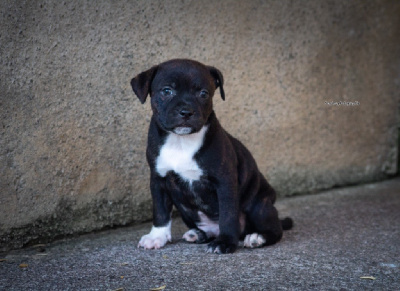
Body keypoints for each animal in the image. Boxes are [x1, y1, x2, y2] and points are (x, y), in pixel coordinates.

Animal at [130, 58, 290, 253]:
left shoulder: (225, 182)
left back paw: (257, 237)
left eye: (203, 93)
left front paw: (225, 242)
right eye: (167, 91)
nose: (186, 112)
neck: (181, 141)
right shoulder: (158, 179)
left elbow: (228, 214)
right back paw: (198, 234)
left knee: (275, 229)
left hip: (260, 206)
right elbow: (160, 211)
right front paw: (156, 237)